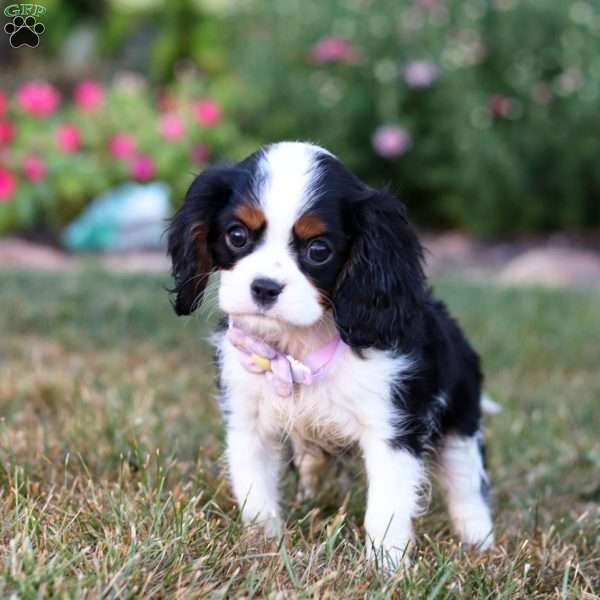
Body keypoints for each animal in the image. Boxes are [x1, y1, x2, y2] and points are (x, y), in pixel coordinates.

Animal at [166, 139, 494, 568]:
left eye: (318, 250)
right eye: (236, 235)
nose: (264, 287)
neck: (298, 348)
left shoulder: (391, 428)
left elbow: (387, 507)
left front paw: (386, 567)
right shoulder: (247, 419)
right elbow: (256, 491)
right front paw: (262, 546)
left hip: (460, 422)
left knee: (467, 482)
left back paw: (478, 541)